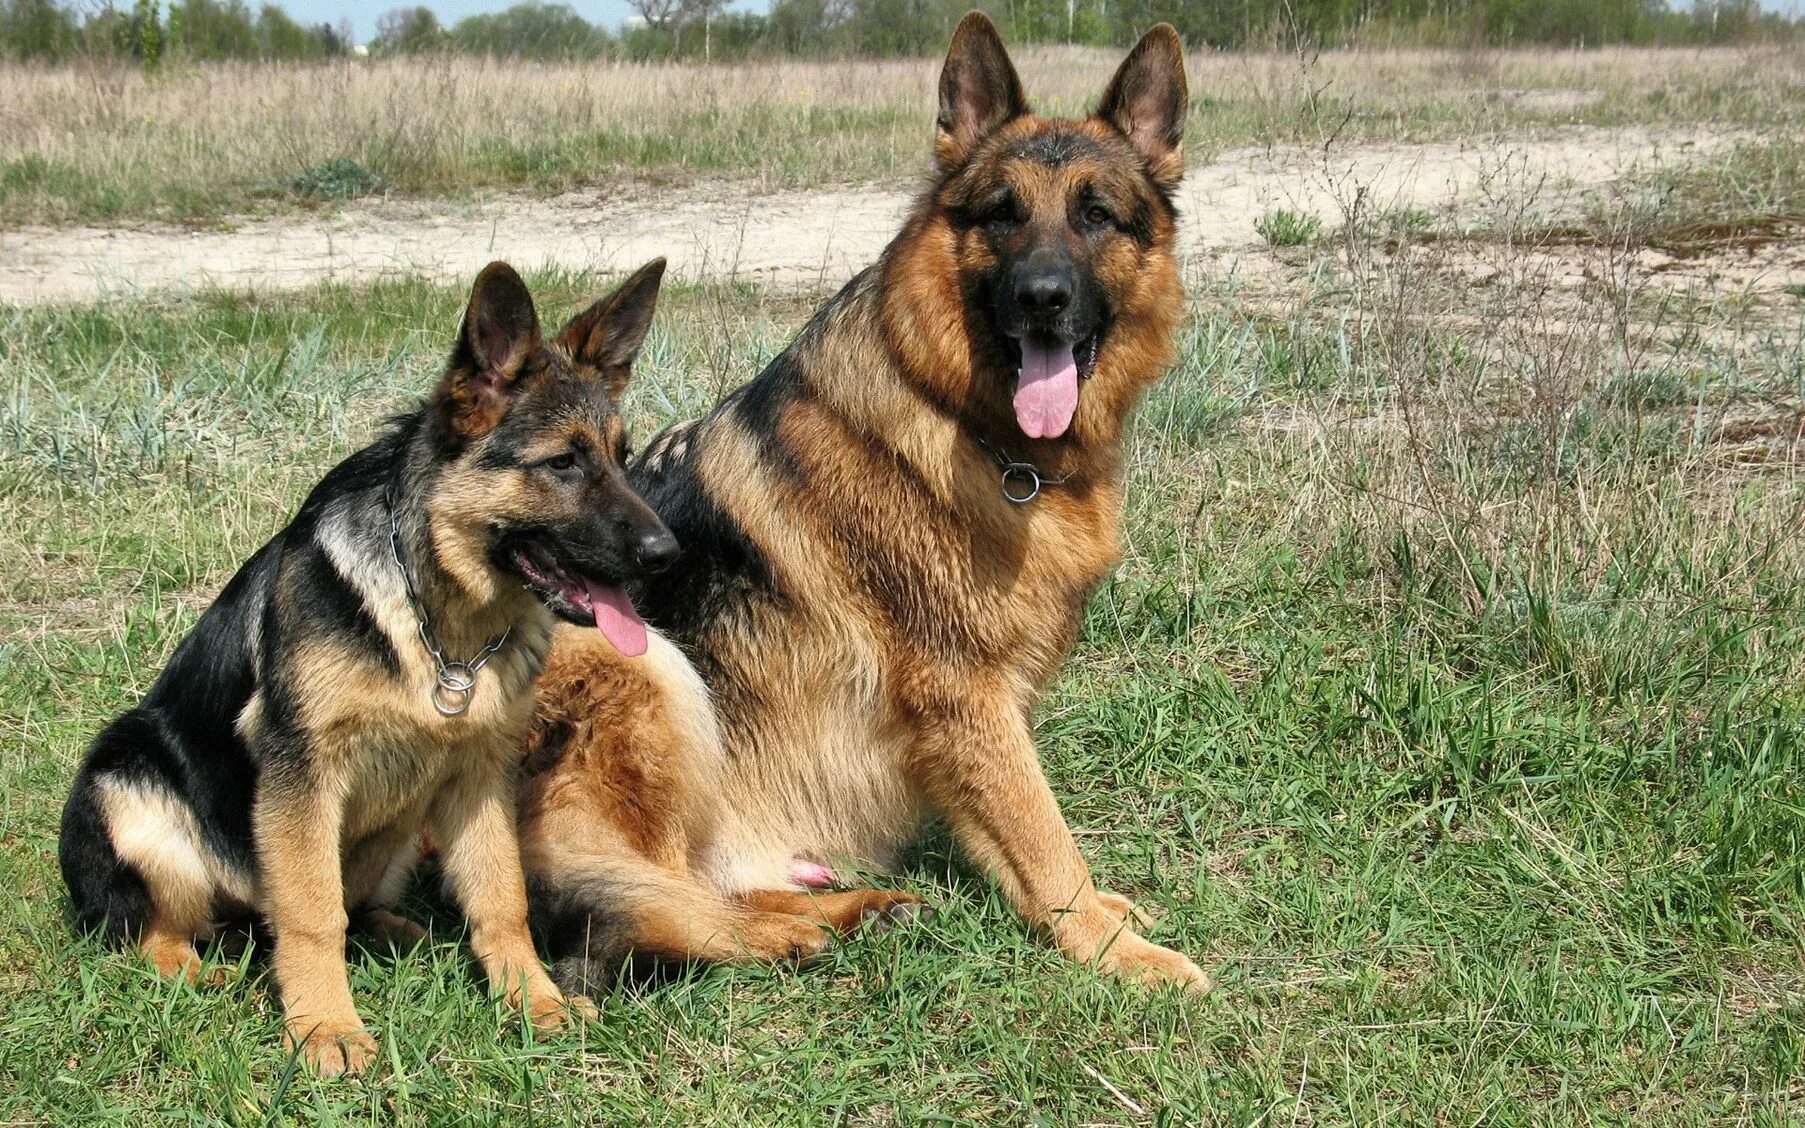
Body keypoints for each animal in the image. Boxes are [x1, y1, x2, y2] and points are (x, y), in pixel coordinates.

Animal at [61, 258, 678, 1075]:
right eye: (563, 463)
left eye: (622, 457)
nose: (668, 553)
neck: (439, 620)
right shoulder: (302, 775)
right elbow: (310, 911)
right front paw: (326, 1028)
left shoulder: (479, 774)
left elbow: (500, 897)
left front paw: (532, 1000)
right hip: (128, 785)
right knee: (152, 926)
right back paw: (199, 968)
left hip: (404, 820)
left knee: (359, 903)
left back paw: (403, 933)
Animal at [516, 13, 1205, 989]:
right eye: (1002, 213)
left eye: (1095, 215)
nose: (1042, 298)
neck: (962, 419)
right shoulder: (965, 697)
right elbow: (1045, 840)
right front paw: (1117, 953)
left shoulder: (976, 718)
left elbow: (1022, 840)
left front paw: (1103, 919)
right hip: (643, 663)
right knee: (669, 905)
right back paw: (799, 934)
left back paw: (856, 911)